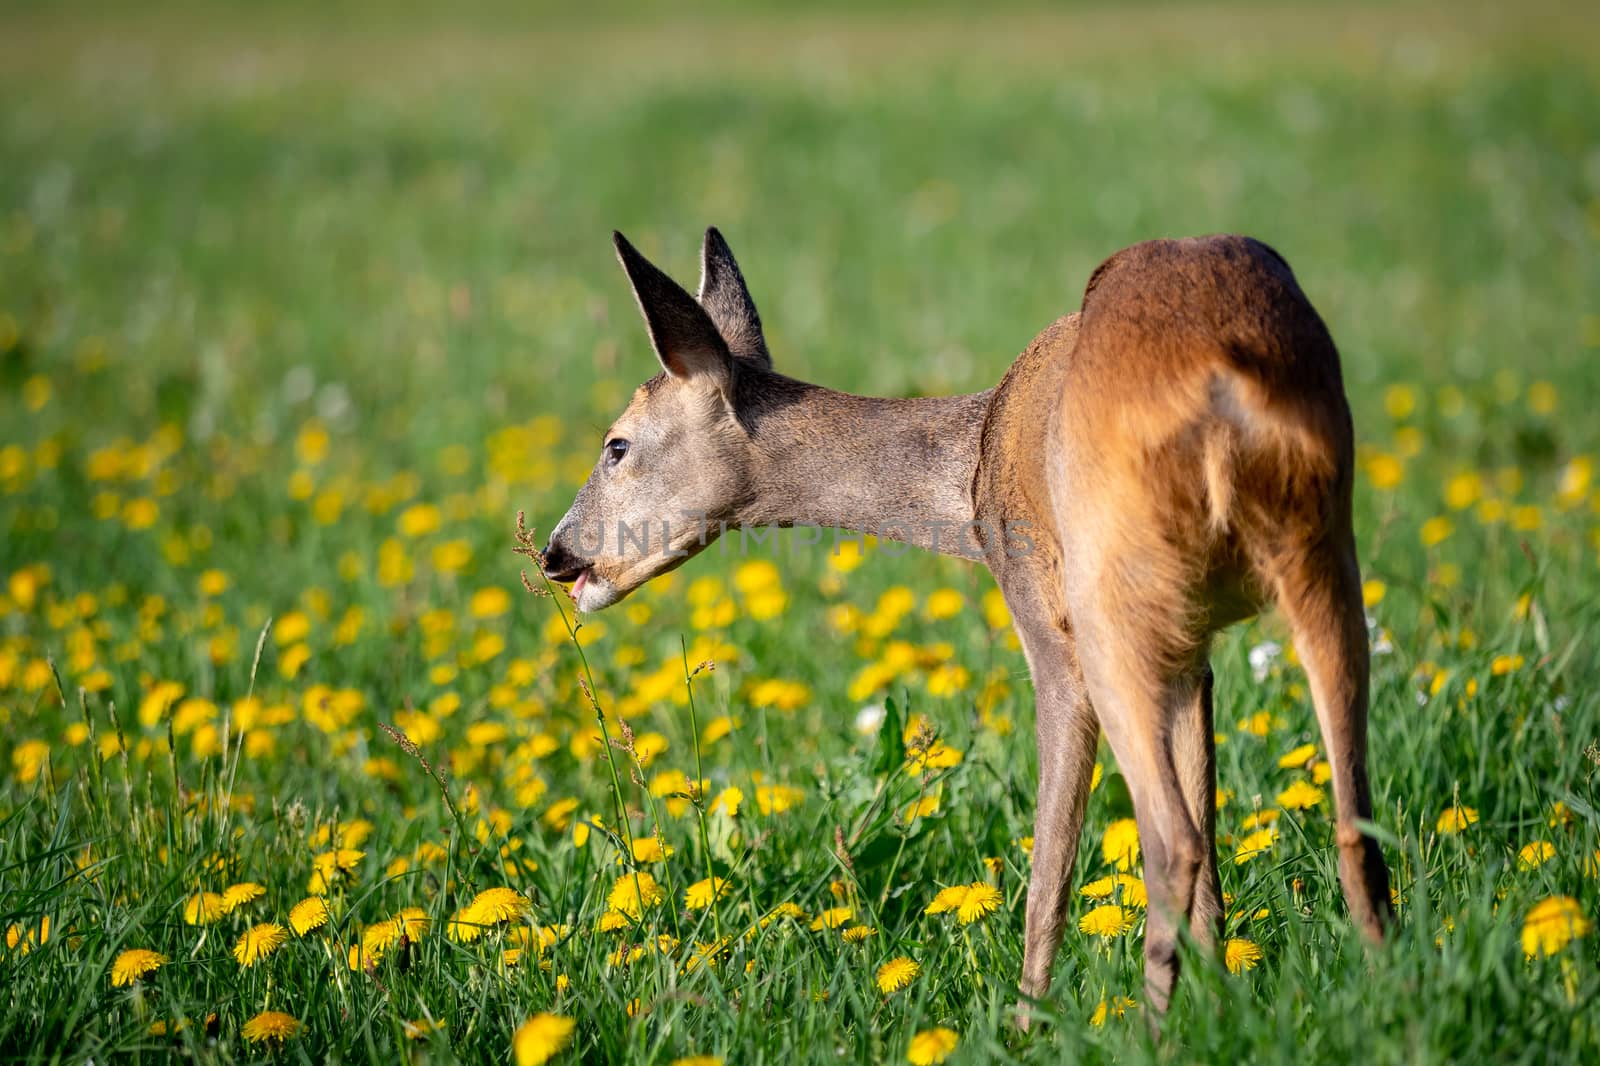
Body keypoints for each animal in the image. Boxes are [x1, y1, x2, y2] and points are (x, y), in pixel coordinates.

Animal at [537, 225, 1388, 1024]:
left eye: (617, 445)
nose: (555, 552)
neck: (969, 475)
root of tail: (1224, 374)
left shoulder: (1046, 621)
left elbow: (1052, 866)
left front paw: (1027, 1024)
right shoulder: (1193, 650)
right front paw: (1222, 996)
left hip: (1110, 599)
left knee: (1170, 843)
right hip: (1322, 543)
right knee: (1351, 821)